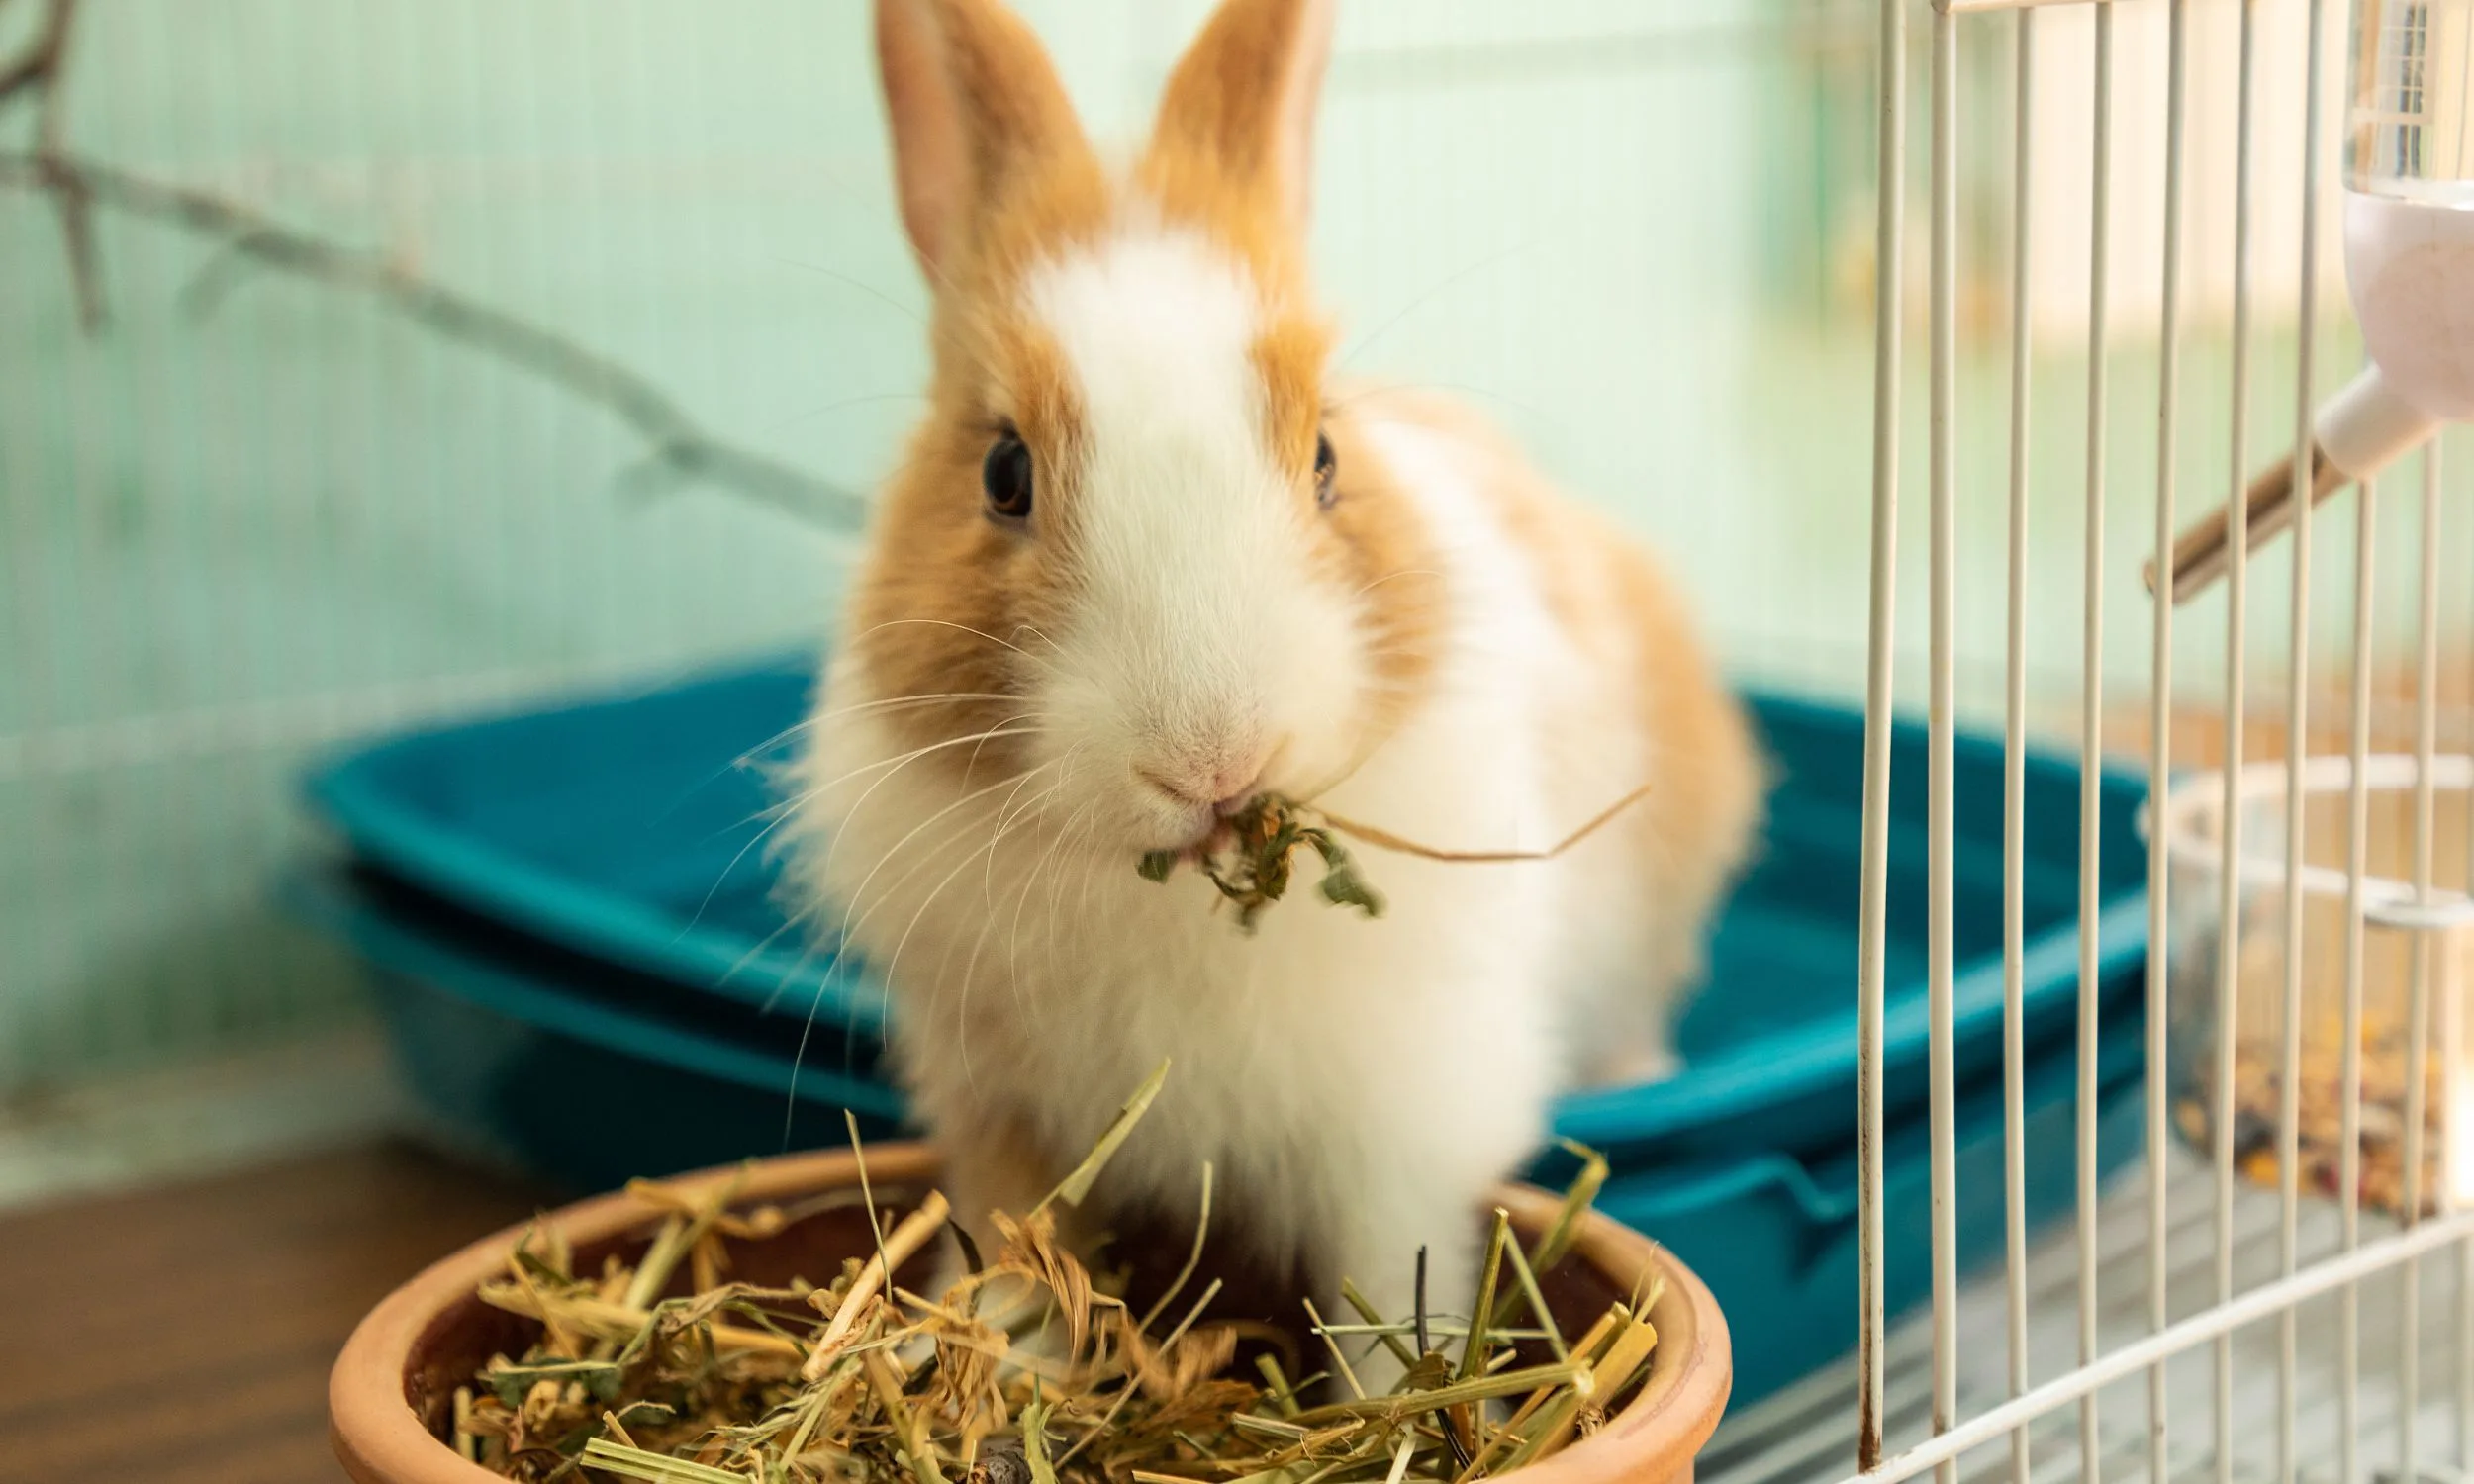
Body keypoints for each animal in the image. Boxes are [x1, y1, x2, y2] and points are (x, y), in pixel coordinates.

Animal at [784, 0, 1762, 1372]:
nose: (1215, 761)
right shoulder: (1001, 1111)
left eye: (1326, 457)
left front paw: (1388, 1392)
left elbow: (1389, 1295)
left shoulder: (1397, 1132)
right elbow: (1021, 1254)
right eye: (1001, 473)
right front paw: (1007, 1363)